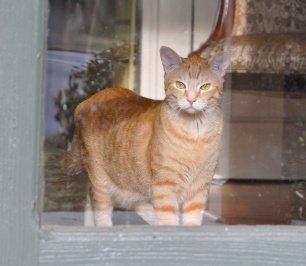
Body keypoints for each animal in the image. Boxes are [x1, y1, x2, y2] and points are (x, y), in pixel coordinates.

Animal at [63, 46, 230, 227]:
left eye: (205, 86)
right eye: (180, 85)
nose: (191, 99)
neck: (195, 134)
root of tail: (86, 101)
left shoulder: (199, 189)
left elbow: (191, 222)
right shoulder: (165, 186)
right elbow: (169, 221)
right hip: (100, 182)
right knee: (101, 213)